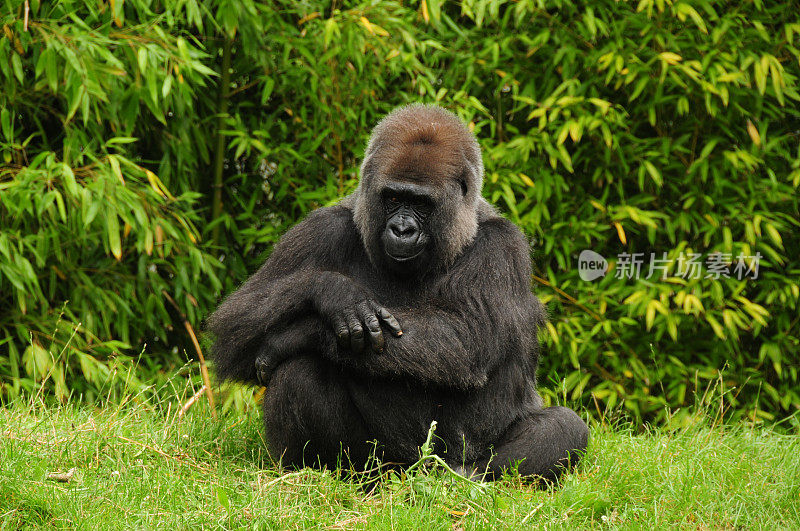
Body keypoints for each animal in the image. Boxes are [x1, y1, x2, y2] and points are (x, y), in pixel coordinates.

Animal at [209, 103, 592, 482]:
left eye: (421, 204)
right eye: (393, 198)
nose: (402, 229)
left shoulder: (502, 246)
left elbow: (467, 337)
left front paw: (306, 330)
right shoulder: (319, 228)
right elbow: (235, 327)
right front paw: (333, 291)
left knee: (565, 427)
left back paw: (469, 473)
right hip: (384, 463)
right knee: (298, 373)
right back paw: (329, 472)